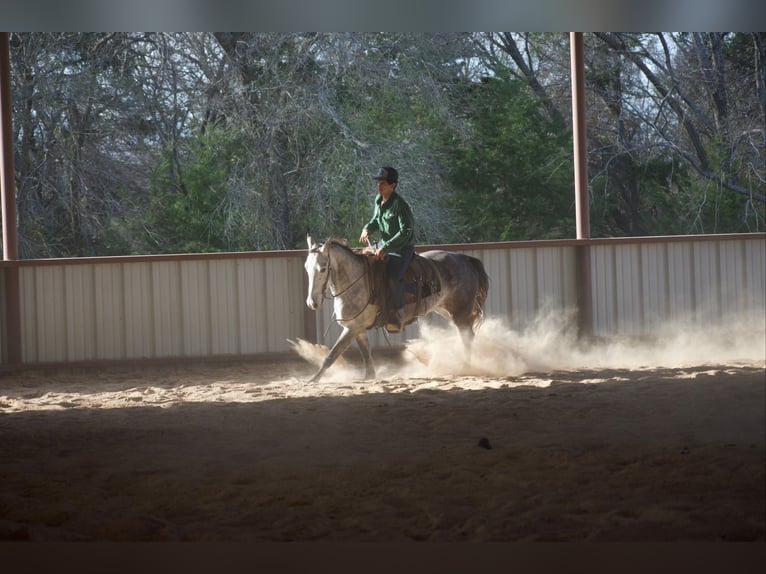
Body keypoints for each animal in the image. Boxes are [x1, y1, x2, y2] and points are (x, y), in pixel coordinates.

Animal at [303, 235, 489, 382]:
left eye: (323, 268)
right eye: (306, 267)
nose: (312, 303)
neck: (357, 280)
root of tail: (466, 259)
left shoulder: (352, 329)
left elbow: (331, 356)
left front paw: (313, 379)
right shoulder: (357, 328)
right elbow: (366, 354)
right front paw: (369, 377)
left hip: (460, 311)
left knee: (467, 337)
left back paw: (466, 366)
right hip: (447, 310)